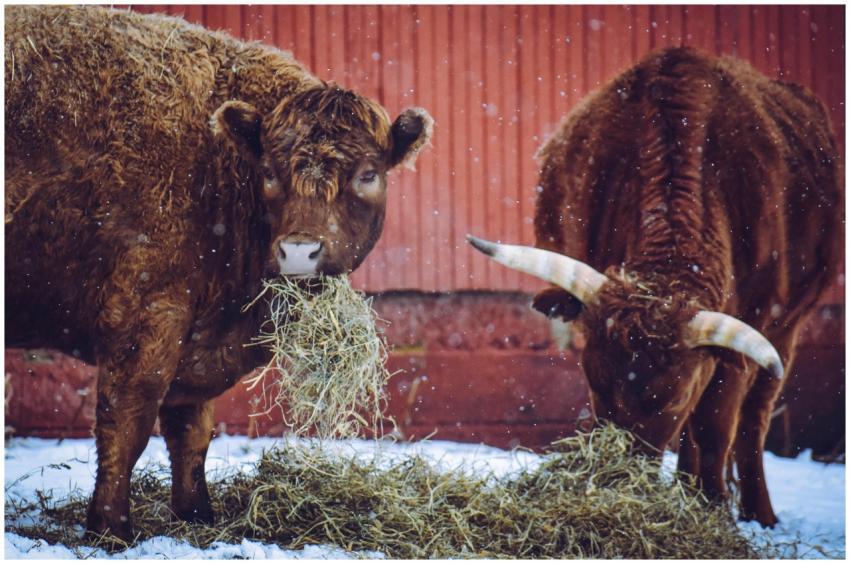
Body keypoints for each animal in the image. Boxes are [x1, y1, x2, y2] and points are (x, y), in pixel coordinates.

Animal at [5, 5, 432, 541]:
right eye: (268, 172)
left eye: (368, 174)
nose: (299, 251)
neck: (215, 167)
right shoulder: (145, 316)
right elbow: (128, 421)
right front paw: (111, 529)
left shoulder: (192, 339)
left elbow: (191, 431)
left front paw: (196, 515)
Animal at [468, 47, 841, 527]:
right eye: (595, 384)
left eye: (672, 400)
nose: (619, 480)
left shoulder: (744, 340)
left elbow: (716, 425)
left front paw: (715, 508)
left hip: (787, 330)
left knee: (752, 419)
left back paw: (759, 513)